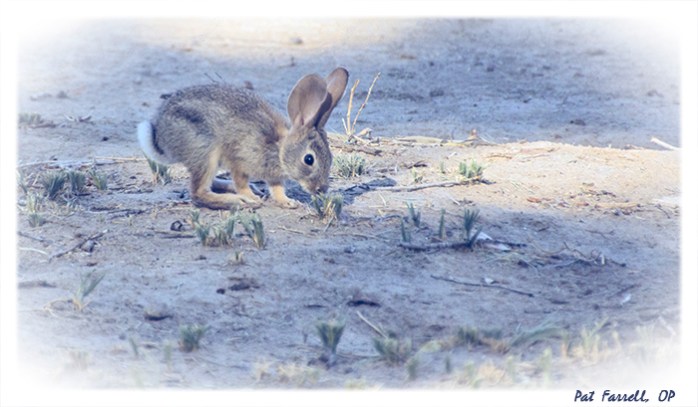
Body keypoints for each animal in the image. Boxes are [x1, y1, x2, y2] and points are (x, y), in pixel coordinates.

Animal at [138, 67, 349, 210]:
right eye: (309, 159)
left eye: (331, 158)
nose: (321, 189)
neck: (279, 149)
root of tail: (161, 137)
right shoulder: (238, 160)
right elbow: (241, 180)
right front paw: (249, 196)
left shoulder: (273, 176)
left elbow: (277, 189)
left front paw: (288, 202)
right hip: (205, 151)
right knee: (198, 192)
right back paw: (240, 200)